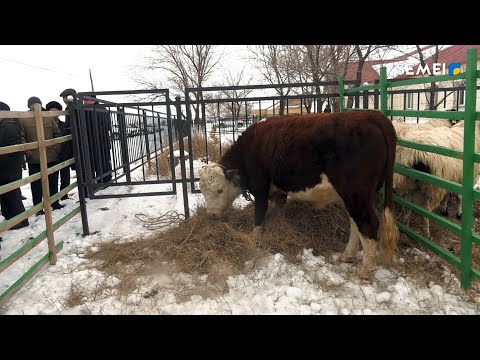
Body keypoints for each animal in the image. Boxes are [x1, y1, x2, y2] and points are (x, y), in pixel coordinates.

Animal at [198, 111, 398, 280]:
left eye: (219, 190)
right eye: (203, 191)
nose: (211, 215)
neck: (250, 148)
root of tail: (369, 115)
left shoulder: (260, 186)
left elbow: (260, 213)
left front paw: (254, 237)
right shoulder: (277, 191)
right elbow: (277, 209)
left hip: (356, 193)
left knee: (368, 224)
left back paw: (365, 270)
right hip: (356, 196)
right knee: (355, 223)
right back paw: (347, 255)